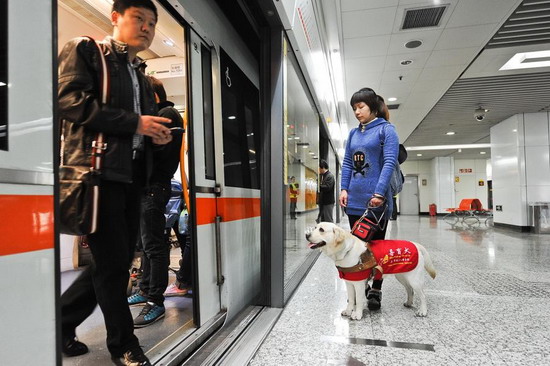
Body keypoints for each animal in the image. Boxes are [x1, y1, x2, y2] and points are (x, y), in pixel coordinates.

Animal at [308, 222, 438, 318]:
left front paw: (357, 314)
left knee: (422, 295)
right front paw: (348, 311)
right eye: (315, 227)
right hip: (402, 276)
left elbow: (358, 299)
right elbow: (351, 299)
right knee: (410, 290)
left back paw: (423, 311)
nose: (306, 235)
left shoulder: (359, 284)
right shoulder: (349, 283)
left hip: (414, 279)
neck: (346, 251)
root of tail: (415, 244)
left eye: (321, 230)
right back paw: (409, 303)